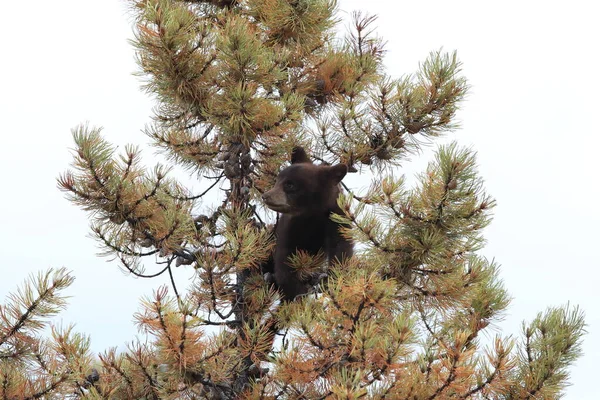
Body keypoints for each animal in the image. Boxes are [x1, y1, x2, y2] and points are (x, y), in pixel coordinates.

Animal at [262, 147, 352, 300]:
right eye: (277, 180)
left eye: (290, 184)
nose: (266, 196)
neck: (311, 214)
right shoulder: (290, 226)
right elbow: (285, 256)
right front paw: (294, 293)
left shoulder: (336, 217)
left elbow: (341, 247)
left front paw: (332, 278)